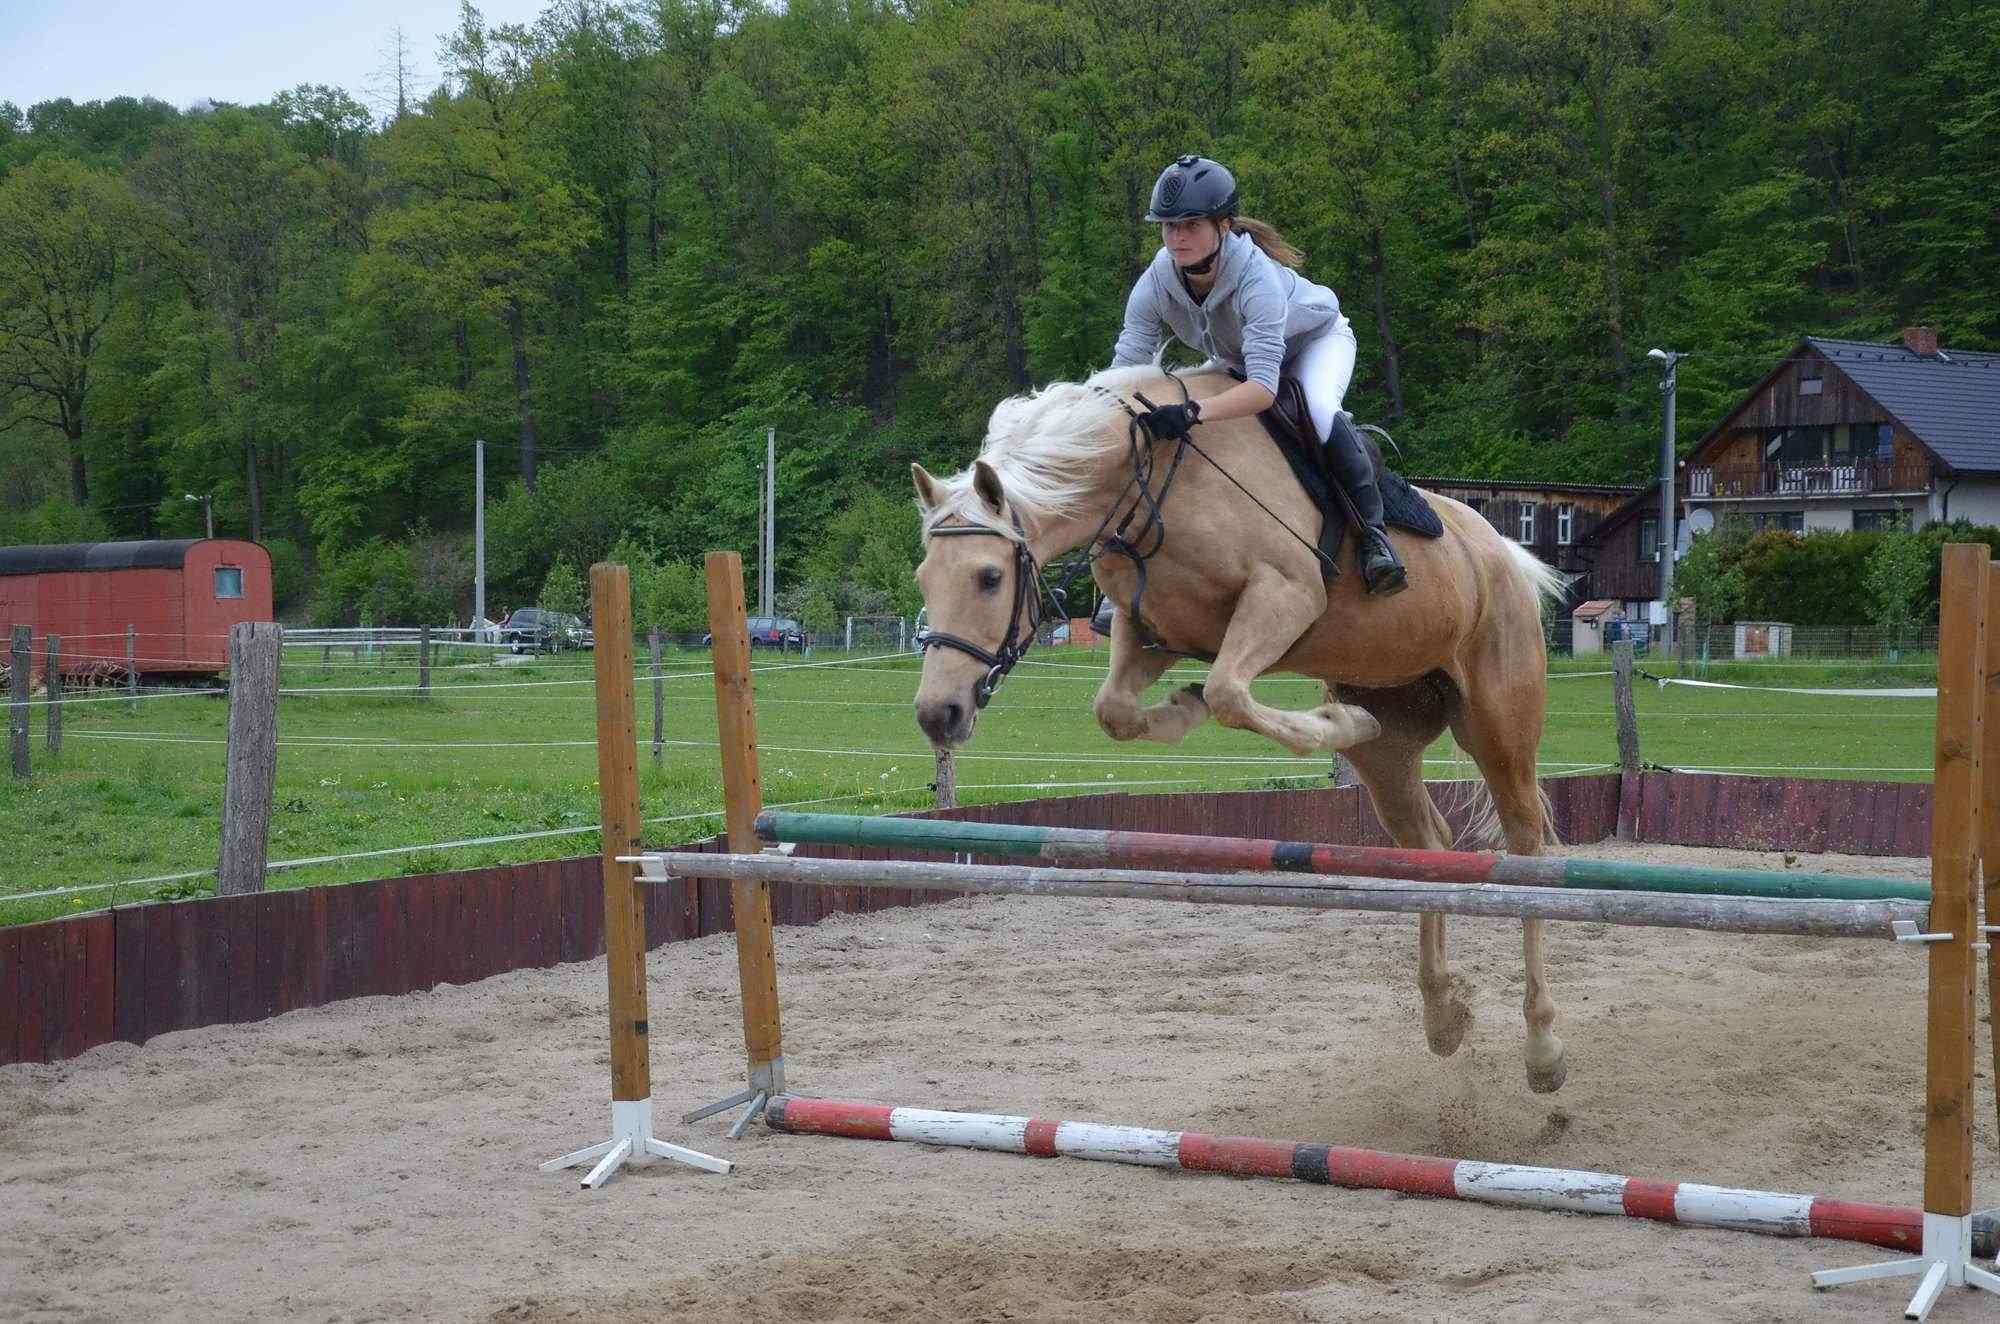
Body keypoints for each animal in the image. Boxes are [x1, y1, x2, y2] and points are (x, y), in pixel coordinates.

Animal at [912, 364, 1576, 1096]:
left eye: (989, 576)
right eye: (924, 578)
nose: (937, 714)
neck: (1147, 481)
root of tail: (1505, 554)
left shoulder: (1282, 595)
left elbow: (1230, 692)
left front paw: (1329, 721)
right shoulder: (1152, 630)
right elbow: (1122, 711)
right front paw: (1185, 707)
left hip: (1498, 725)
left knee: (1528, 849)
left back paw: (1543, 1046)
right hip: (1393, 741)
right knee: (1427, 842)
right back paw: (1443, 1014)